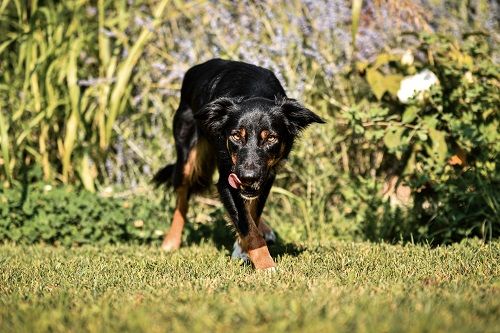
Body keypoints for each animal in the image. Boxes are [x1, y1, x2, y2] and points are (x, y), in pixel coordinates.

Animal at [153, 58, 324, 268]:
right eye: (236, 135)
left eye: (271, 138)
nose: (248, 177)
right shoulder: (228, 180)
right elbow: (248, 226)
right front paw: (267, 266)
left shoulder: (266, 176)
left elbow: (252, 215)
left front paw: (242, 249)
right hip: (187, 155)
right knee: (182, 198)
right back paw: (171, 241)